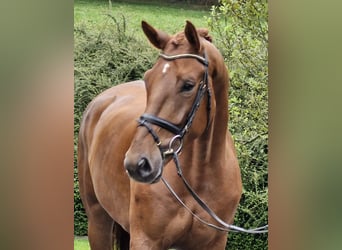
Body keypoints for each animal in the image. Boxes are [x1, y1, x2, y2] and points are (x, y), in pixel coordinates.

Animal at [79, 20, 242, 249]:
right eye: (148, 79)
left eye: (188, 85)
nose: (137, 163)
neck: (199, 176)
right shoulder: (146, 241)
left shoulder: (214, 244)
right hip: (98, 221)